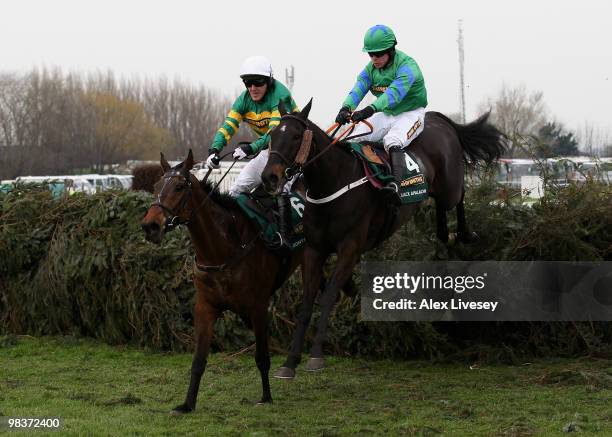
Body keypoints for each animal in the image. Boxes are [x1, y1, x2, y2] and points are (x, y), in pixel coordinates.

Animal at [139, 150, 302, 408]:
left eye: (179, 187)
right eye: (155, 186)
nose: (150, 226)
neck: (223, 249)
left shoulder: (258, 306)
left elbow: (262, 357)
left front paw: (266, 397)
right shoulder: (205, 307)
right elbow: (198, 360)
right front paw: (187, 404)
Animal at [260, 99, 504, 378]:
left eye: (296, 136)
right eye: (272, 135)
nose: (269, 177)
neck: (333, 182)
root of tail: (438, 119)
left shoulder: (350, 248)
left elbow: (329, 295)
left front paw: (316, 356)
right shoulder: (313, 250)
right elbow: (307, 302)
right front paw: (290, 362)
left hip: (449, 185)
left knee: (459, 194)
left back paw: (465, 233)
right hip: (436, 190)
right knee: (441, 208)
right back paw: (444, 235)